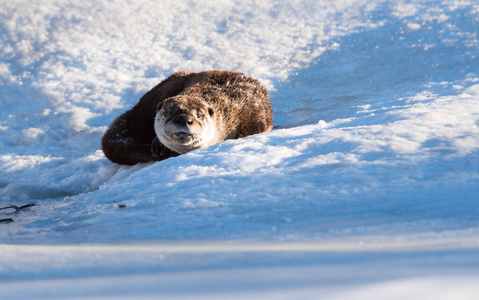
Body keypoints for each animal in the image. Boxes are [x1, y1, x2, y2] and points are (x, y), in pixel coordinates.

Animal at [101, 69, 274, 165]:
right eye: (169, 112)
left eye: (200, 114)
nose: (184, 119)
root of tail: (133, 113)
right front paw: (158, 144)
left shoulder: (250, 112)